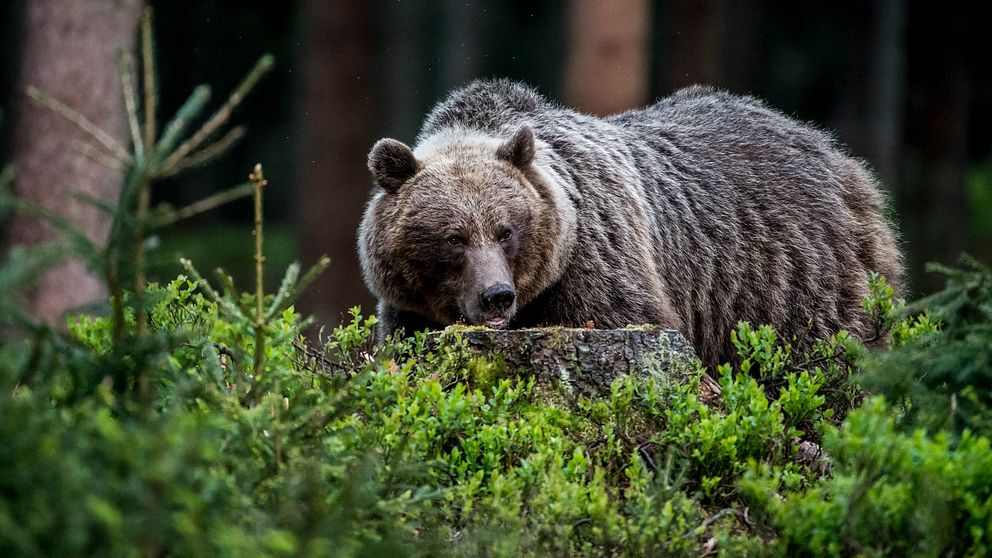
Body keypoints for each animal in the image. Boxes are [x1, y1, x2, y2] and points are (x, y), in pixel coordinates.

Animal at [354, 79, 900, 368]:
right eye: (454, 237)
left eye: (507, 231)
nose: (497, 296)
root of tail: (829, 147)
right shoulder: (410, 309)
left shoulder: (598, 263)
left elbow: (630, 315)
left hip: (793, 277)